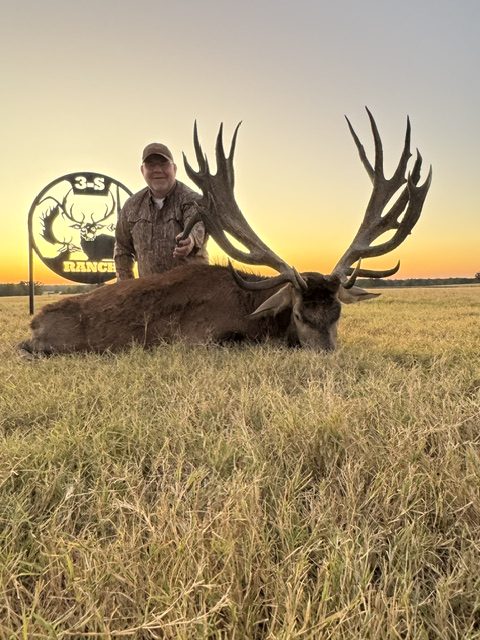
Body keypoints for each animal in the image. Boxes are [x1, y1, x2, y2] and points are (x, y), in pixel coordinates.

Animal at [18, 109, 431, 356]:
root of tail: (34, 321)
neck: (255, 311)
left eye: (338, 314)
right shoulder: (201, 338)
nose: (328, 355)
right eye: (299, 315)